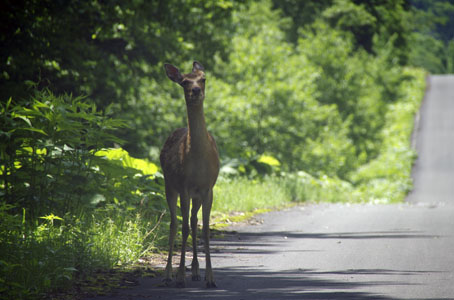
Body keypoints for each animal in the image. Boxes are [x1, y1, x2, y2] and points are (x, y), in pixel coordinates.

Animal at [161, 61, 220, 288]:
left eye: (203, 78)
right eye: (185, 81)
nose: (195, 90)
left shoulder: (208, 188)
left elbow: (204, 229)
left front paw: (210, 278)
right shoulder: (184, 186)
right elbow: (184, 227)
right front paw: (179, 277)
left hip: (196, 195)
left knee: (194, 222)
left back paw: (194, 271)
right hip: (169, 185)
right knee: (175, 223)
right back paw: (169, 274)